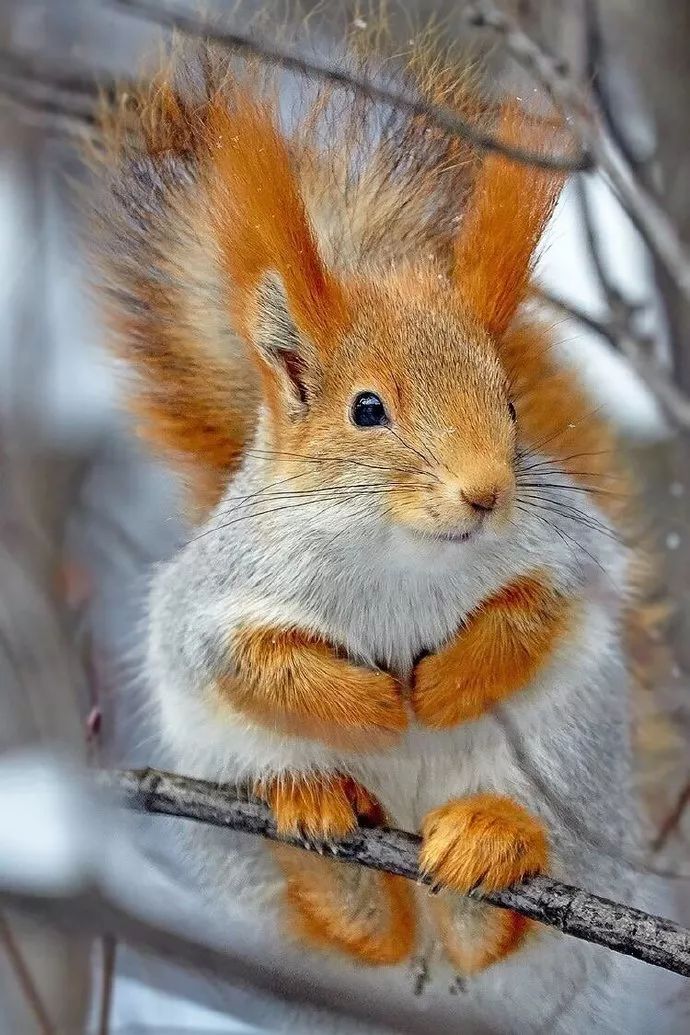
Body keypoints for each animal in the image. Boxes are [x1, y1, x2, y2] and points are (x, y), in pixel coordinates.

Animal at [88, 20, 657, 1022]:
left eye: (511, 403)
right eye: (366, 410)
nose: (485, 492)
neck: (401, 554)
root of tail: (424, 985)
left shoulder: (570, 549)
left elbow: (538, 610)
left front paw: (443, 687)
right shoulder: (215, 598)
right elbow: (248, 658)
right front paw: (373, 706)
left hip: (572, 768)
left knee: (498, 922)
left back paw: (487, 842)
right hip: (238, 833)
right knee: (359, 926)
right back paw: (324, 823)